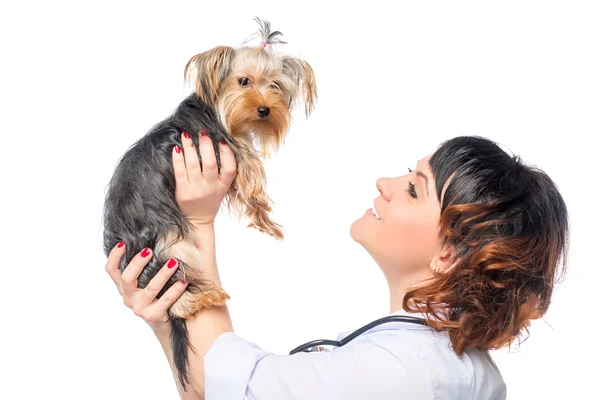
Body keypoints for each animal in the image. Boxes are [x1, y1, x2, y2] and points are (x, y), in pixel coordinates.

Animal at [102, 18, 318, 390]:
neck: (218, 110)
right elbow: (253, 186)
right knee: (175, 293)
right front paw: (270, 224)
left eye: (275, 86)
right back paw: (208, 296)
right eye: (243, 81)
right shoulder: (233, 150)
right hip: (168, 246)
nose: (264, 110)